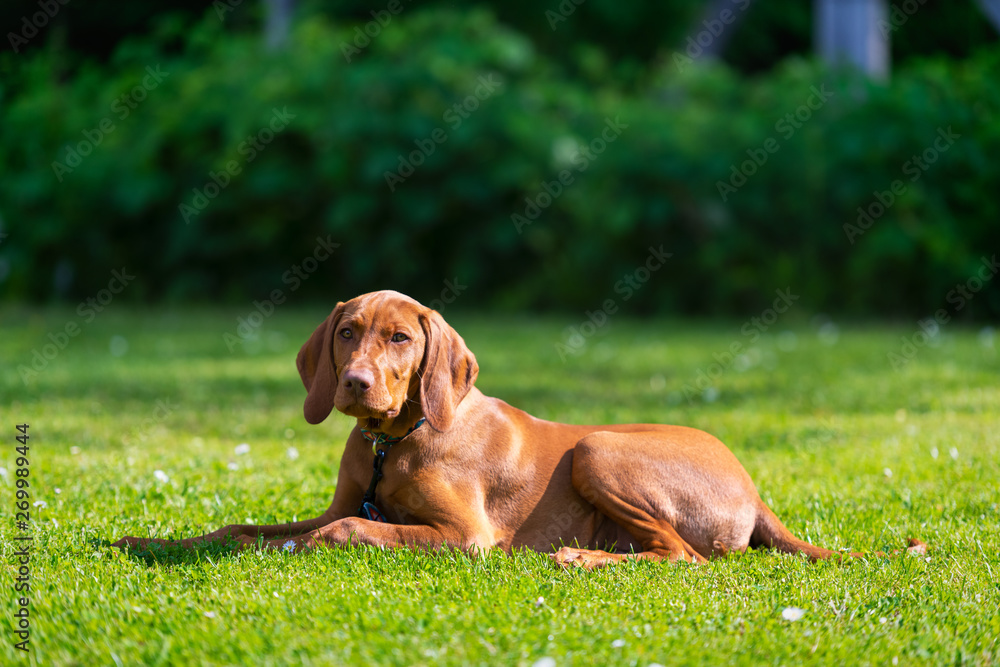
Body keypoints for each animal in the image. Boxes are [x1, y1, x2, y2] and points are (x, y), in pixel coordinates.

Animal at [113, 290, 924, 568]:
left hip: (599, 448)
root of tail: (754, 491)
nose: (355, 384)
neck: (393, 441)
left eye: (400, 339)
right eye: (347, 333)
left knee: (685, 556)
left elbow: (343, 530)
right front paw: (151, 541)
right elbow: (241, 527)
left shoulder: (465, 536)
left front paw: (294, 549)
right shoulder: (345, 498)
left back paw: (579, 558)